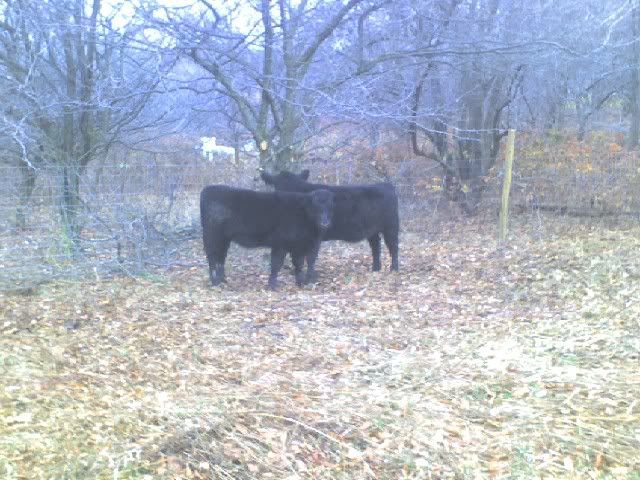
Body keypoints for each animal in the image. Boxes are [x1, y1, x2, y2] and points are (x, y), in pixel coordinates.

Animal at [200, 185, 335, 290]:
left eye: (330, 206)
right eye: (315, 206)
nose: (325, 222)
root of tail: (208, 189)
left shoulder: (299, 246)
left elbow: (299, 264)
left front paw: (300, 282)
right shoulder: (281, 244)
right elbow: (276, 264)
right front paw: (272, 286)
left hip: (224, 239)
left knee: (220, 258)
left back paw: (222, 280)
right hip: (212, 236)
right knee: (212, 258)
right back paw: (215, 282)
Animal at [260, 169, 399, 281]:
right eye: (277, 185)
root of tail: (386, 185)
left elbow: (309, 257)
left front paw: (309, 277)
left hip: (391, 225)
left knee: (393, 246)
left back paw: (394, 269)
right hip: (372, 230)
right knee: (376, 246)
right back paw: (376, 268)